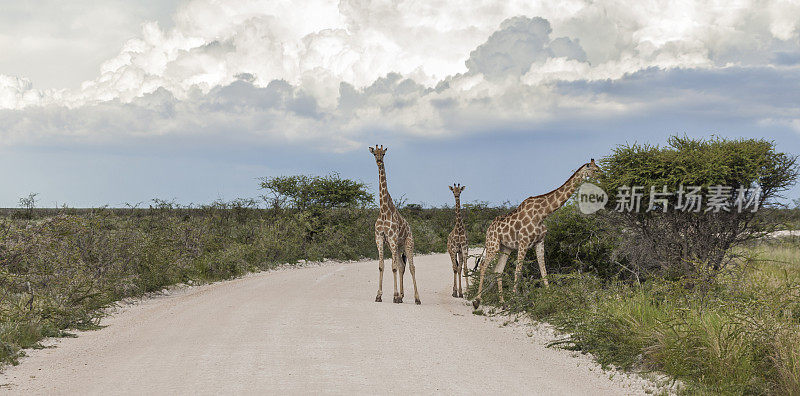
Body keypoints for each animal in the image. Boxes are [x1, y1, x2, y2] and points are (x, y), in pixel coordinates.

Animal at [368, 144, 422, 304]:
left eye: (384, 153)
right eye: (374, 153)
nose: (379, 161)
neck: (384, 210)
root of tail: (410, 228)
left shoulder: (391, 239)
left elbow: (393, 267)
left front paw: (394, 295)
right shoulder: (379, 238)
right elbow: (382, 266)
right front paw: (379, 295)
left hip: (408, 243)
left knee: (411, 267)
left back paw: (417, 298)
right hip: (398, 247)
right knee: (402, 265)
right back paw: (402, 296)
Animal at [468, 159, 600, 308]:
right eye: (595, 170)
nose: (603, 176)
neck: (542, 214)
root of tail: (488, 229)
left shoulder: (540, 242)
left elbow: (543, 269)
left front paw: (550, 295)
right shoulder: (524, 242)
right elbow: (518, 270)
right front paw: (514, 298)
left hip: (506, 248)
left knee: (498, 270)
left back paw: (502, 302)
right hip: (493, 244)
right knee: (483, 265)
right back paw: (477, 300)